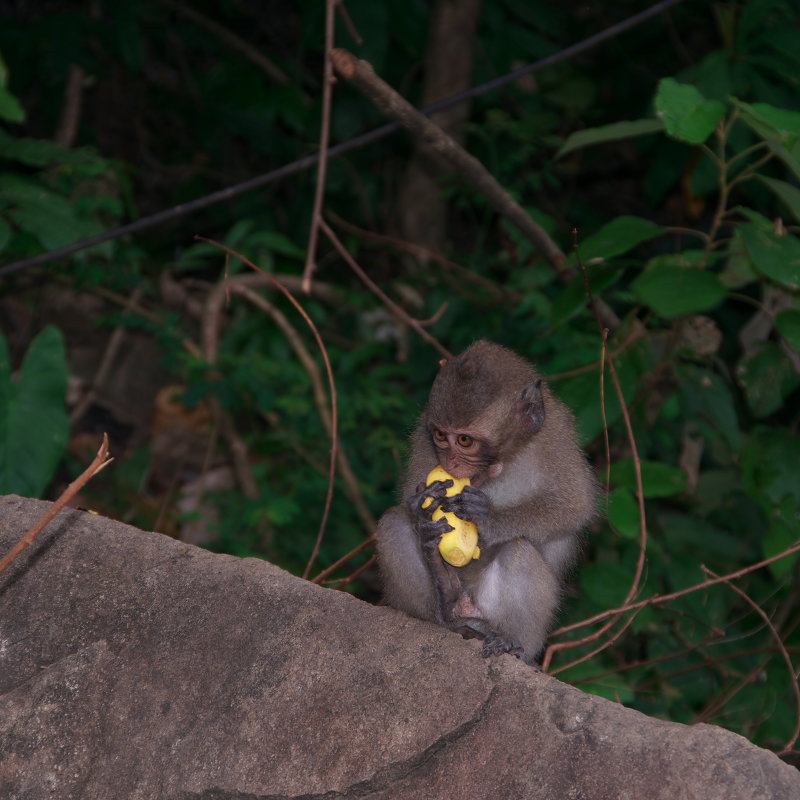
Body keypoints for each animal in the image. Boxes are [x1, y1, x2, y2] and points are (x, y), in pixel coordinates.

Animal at [378, 340, 596, 664]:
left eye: (465, 441)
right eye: (441, 435)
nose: (451, 463)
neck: (505, 460)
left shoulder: (554, 439)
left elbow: (573, 505)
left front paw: (488, 519)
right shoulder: (423, 440)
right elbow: (409, 503)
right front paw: (423, 522)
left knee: (519, 550)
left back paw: (512, 642)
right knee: (393, 522)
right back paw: (444, 596)